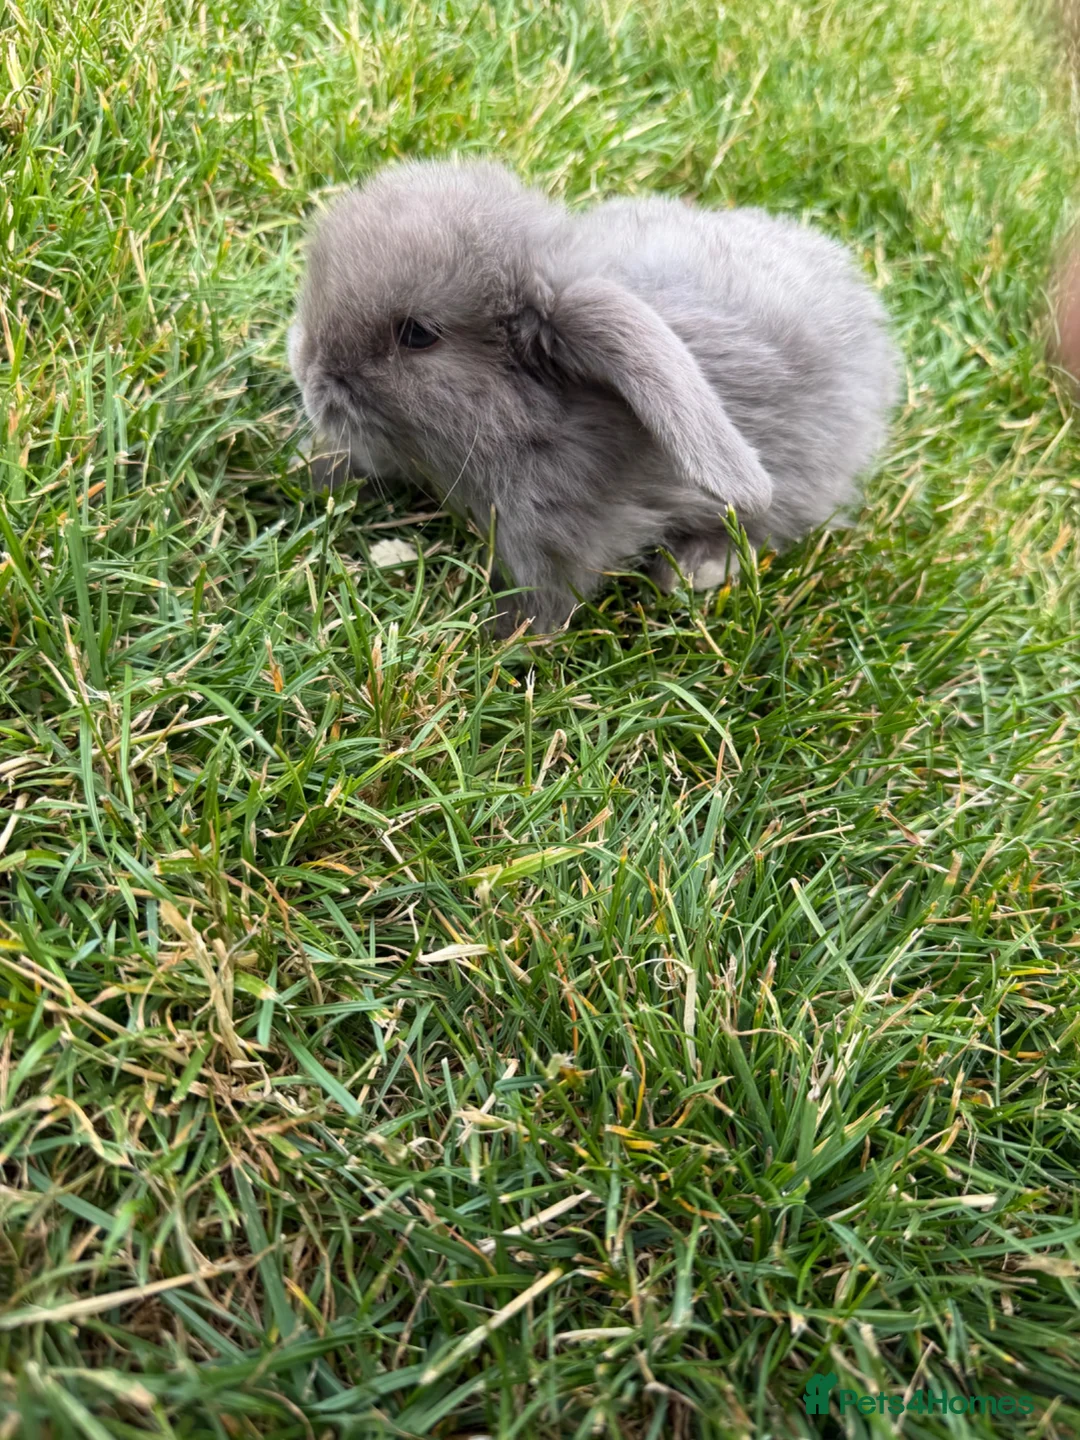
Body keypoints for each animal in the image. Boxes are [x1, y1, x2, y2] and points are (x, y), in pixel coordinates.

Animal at [288, 158, 899, 635]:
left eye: (417, 334)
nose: (307, 372)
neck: (536, 420)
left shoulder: (553, 538)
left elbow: (545, 599)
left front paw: (498, 645)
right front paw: (308, 470)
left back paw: (689, 571)